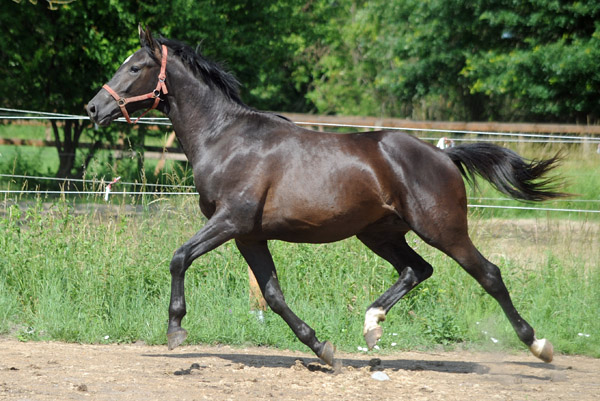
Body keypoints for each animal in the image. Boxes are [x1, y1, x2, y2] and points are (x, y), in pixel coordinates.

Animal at [88, 26, 564, 368]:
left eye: (134, 67)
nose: (94, 108)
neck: (226, 139)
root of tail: (443, 154)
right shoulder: (248, 235)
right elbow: (273, 295)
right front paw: (322, 348)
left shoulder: (230, 220)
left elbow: (179, 257)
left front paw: (175, 329)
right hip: (380, 233)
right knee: (417, 270)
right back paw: (372, 325)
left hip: (442, 228)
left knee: (489, 274)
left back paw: (538, 346)